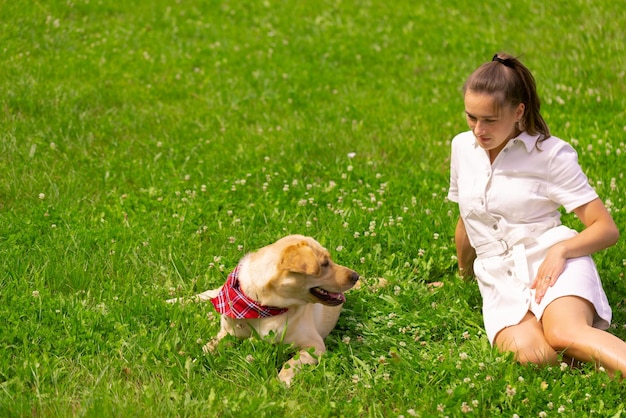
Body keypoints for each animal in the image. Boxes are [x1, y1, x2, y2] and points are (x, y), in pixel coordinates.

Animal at [167, 235, 360, 386]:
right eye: (325, 264)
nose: (356, 276)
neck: (264, 306)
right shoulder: (227, 333)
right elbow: (208, 347)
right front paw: (193, 361)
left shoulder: (314, 345)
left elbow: (292, 363)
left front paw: (281, 381)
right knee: (206, 293)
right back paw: (173, 301)